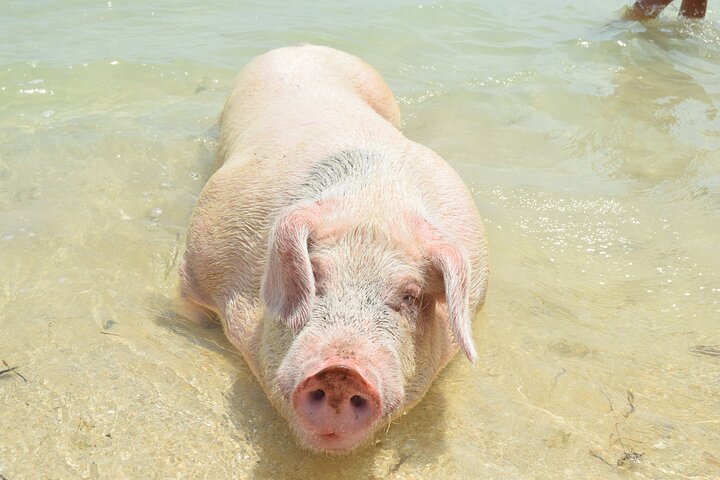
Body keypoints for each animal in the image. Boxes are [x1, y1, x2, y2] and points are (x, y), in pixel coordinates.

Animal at [180, 45, 488, 454]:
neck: (372, 201)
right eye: (314, 276)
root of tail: (306, 46)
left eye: (410, 295)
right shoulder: (197, 258)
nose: (342, 371)